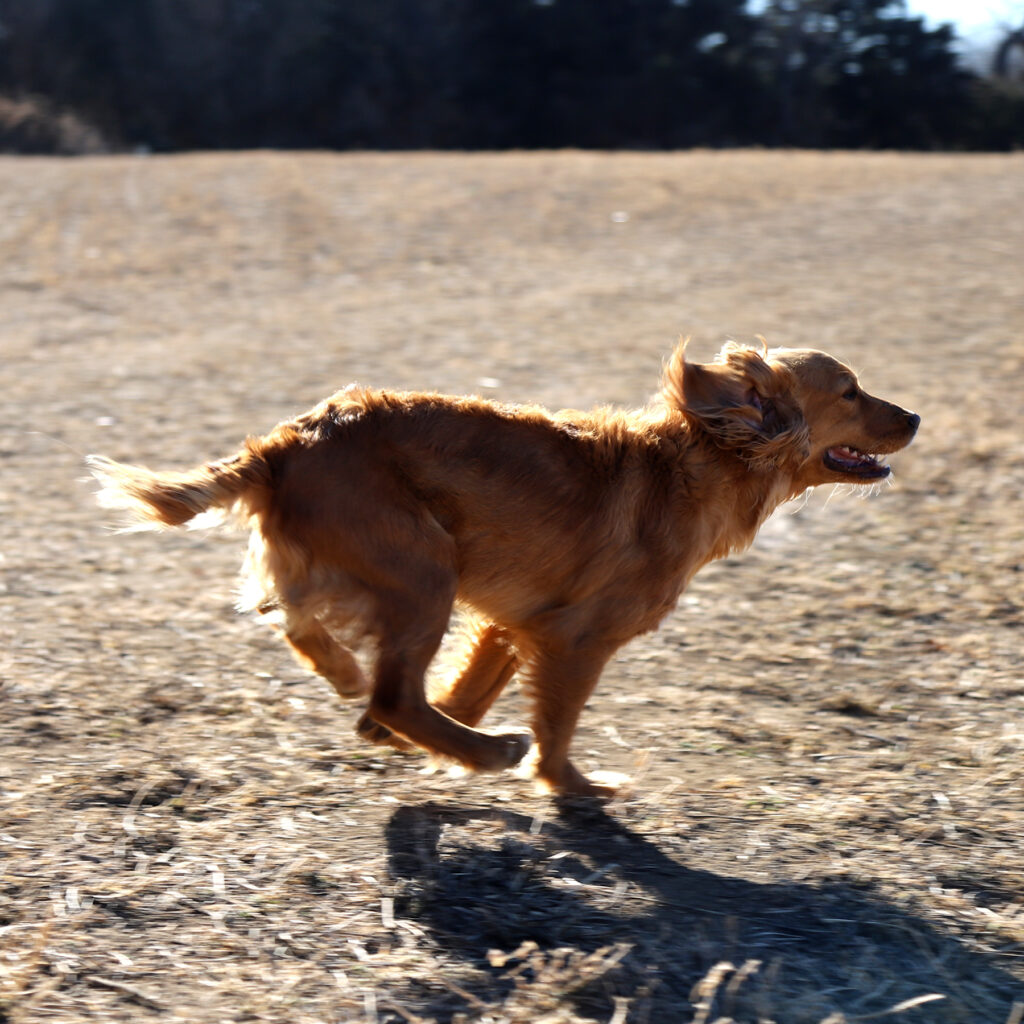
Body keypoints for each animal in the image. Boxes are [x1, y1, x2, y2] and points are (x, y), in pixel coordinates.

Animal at [90, 339, 921, 794]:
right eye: (850, 391)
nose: (914, 416)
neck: (698, 462)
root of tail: (288, 441)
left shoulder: (510, 624)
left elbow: (463, 693)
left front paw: (428, 744)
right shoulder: (574, 641)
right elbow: (557, 728)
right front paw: (573, 786)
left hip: (393, 572)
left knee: (318, 642)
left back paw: (357, 684)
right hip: (425, 569)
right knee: (394, 693)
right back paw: (486, 750)